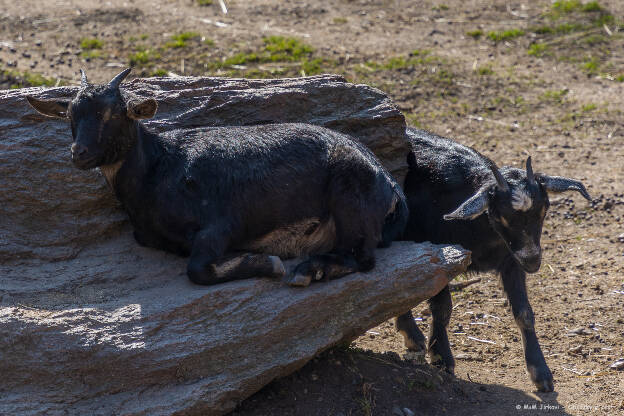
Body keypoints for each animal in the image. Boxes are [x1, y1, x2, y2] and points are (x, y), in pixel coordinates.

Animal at [26, 70, 408, 288]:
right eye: (69, 115)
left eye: (115, 114)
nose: (80, 153)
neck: (159, 167)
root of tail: (389, 184)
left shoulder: (222, 224)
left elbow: (198, 269)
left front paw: (267, 263)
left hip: (350, 200)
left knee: (363, 258)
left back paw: (308, 271)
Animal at [398, 127, 592, 394]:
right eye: (501, 216)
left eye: (544, 210)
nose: (533, 261)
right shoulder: (437, 257)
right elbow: (442, 308)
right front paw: (441, 357)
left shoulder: (511, 260)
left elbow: (524, 312)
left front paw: (540, 372)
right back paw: (412, 334)